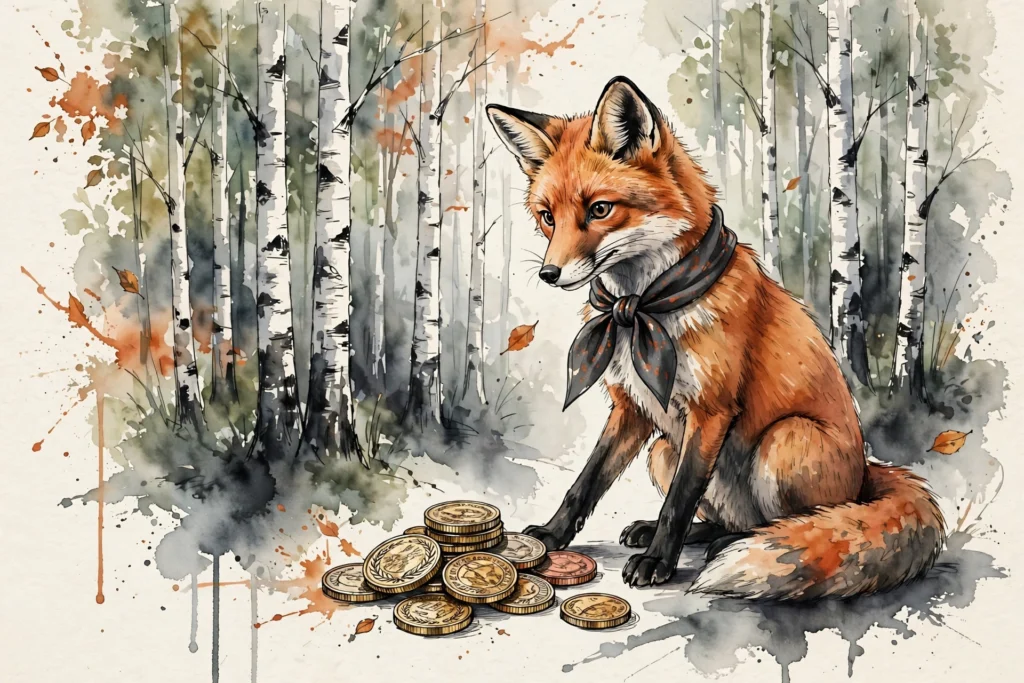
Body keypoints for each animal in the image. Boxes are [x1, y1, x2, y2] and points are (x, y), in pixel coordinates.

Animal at [486, 76, 945, 600]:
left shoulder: (712, 409)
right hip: (662, 450)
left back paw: (736, 543)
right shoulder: (631, 407)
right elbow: (588, 481)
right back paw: (685, 532)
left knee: (794, 523)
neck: (641, 307)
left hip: (783, 441)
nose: (549, 273)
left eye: (600, 209)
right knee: (720, 517)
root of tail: (868, 474)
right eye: (547, 217)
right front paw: (550, 536)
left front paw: (657, 563)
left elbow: (681, 499)